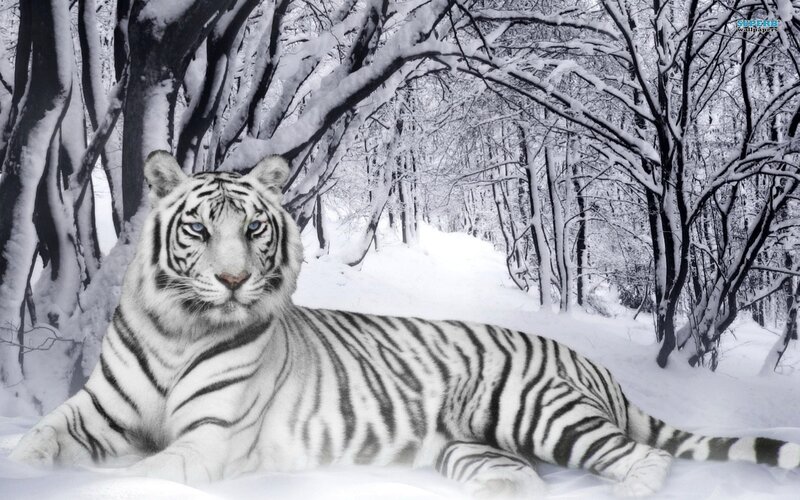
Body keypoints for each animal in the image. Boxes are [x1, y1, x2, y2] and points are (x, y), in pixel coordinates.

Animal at [9, 150, 800, 498]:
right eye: (200, 230)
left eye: (254, 230)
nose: (232, 280)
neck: (180, 330)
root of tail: (591, 362)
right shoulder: (94, 412)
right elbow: (40, 440)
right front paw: (25, 468)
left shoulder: (207, 440)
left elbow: (142, 471)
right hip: (473, 451)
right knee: (524, 479)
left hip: (538, 411)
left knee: (645, 461)